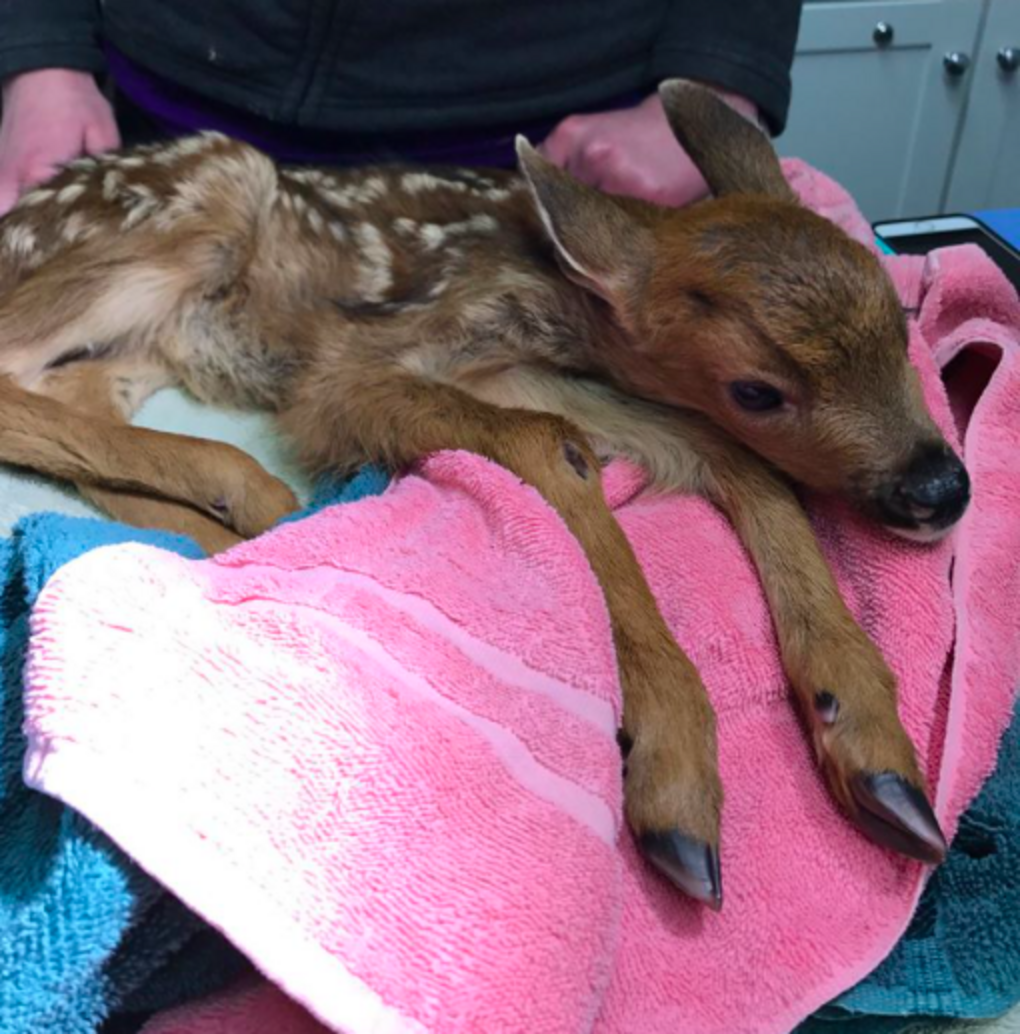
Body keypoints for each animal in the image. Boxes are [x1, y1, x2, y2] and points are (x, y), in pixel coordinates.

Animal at [0, 81, 969, 910]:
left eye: (902, 324)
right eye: (758, 390)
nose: (942, 485)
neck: (562, 300)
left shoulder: (534, 370)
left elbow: (734, 464)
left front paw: (878, 753)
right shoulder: (356, 368)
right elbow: (553, 444)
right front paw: (673, 775)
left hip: (151, 338)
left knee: (74, 396)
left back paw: (225, 529)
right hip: (202, 199)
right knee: (21, 376)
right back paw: (252, 491)